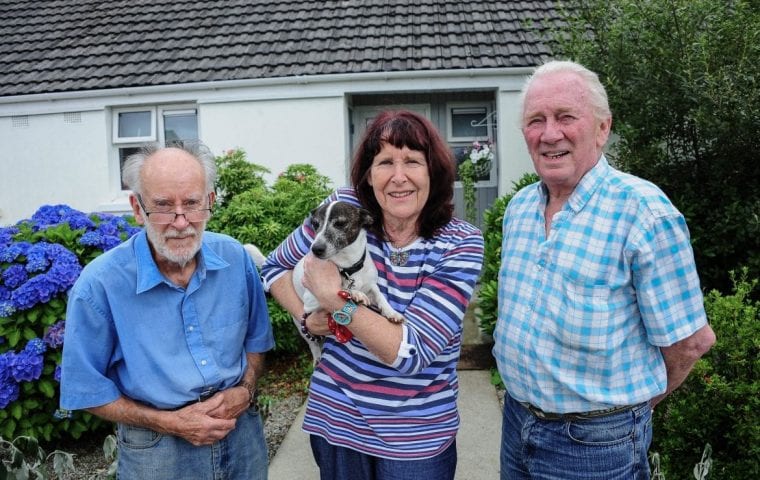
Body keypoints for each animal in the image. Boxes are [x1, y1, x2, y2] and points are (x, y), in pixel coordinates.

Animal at [248, 201, 404, 362]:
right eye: (315, 224)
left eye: (340, 223)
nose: (316, 249)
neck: (348, 268)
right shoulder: (311, 301)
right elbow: (339, 289)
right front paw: (355, 293)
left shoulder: (370, 283)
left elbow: (379, 294)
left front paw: (391, 312)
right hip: (302, 325)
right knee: (313, 344)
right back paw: (317, 357)